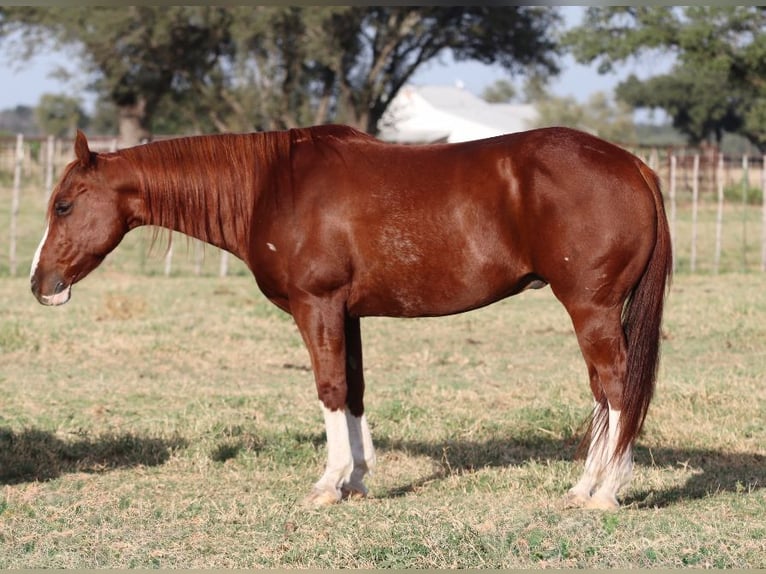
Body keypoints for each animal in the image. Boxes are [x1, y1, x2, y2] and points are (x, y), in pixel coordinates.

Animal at [30, 125, 672, 510]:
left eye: (63, 206)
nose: (41, 285)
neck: (270, 186)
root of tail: (634, 166)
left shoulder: (316, 305)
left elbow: (330, 388)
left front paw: (327, 484)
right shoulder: (348, 314)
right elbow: (356, 390)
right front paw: (358, 478)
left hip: (590, 309)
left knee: (618, 390)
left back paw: (604, 493)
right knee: (605, 395)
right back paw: (584, 485)